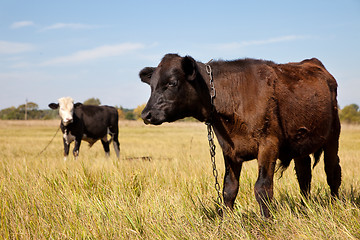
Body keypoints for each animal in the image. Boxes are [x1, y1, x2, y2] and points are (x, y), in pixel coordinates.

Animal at [139, 54, 342, 218]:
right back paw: (304, 208)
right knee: (304, 175)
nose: (146, 114)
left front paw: (267, 223)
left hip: (333, 136)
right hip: (300, 144)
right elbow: (229, 189)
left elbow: (262, 187)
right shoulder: (229, 150)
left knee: (332, 172)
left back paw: (335, 206)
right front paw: (225, 222)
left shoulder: (268, 144)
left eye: (172, 83)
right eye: (151, 86)